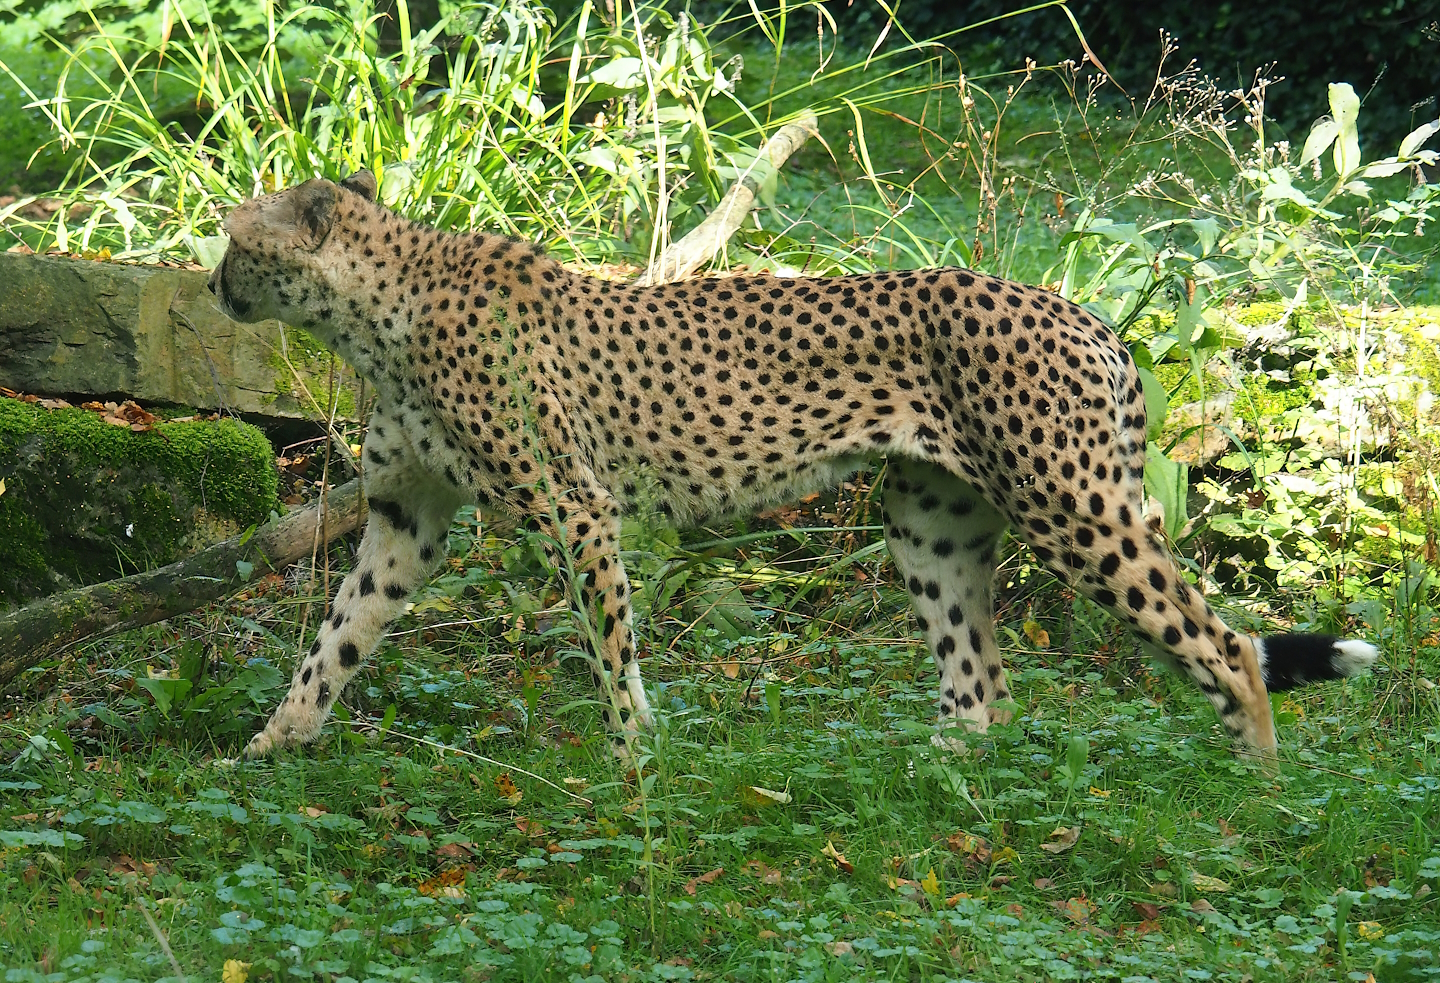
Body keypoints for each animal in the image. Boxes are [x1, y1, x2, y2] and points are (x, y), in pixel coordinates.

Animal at [209, 170, 1379, 764]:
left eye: (235, 240)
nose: (214, 286)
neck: (377, 305)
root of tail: (1087, 312)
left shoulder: (576, 507)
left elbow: (610, 654)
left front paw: (635, 768)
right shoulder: (407, 517)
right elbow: (336, 636)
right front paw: (271, 742)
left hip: (1074, 509)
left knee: (1224, 647)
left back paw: (1255, 793)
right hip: (932, 522)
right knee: (983, 686)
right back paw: (935, 790)